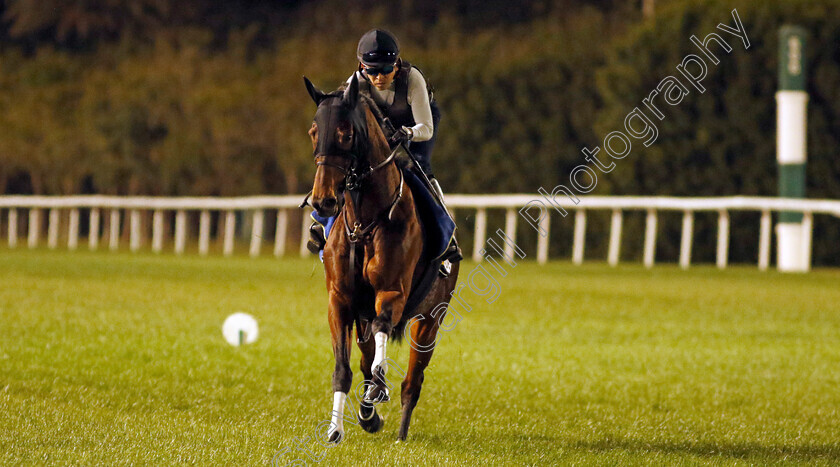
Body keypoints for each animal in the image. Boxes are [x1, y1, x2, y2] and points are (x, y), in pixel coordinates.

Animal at [302, 75, 460, 444]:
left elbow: (382, 335)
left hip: (431, 319)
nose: (323, 200)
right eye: (314, 131)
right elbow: (345, 368)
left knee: (411, 382)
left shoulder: (392, 292)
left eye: (345, 133)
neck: (365, 221)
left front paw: (378, 391)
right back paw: (369, 414)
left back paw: (400, 430)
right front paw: (337, 427)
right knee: (366, 357)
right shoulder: (340, 300)